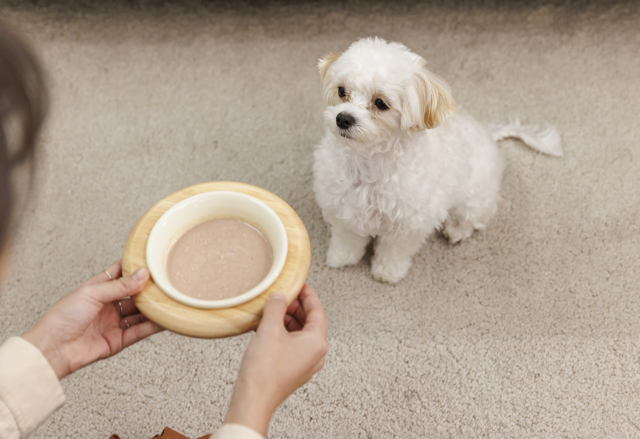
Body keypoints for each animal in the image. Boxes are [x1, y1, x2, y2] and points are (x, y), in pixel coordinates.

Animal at [312, 37, 564, 286]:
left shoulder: (409, 224)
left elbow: (394, 251)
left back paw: (457, 230)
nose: (343, 118)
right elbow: (347, 239)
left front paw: (387, 273)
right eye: (342, 91)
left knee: (473, 217)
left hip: (475, 197)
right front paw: (342, 258)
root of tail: (488, 133)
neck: (367, 162)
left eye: (381, 103)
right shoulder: (343, 207)